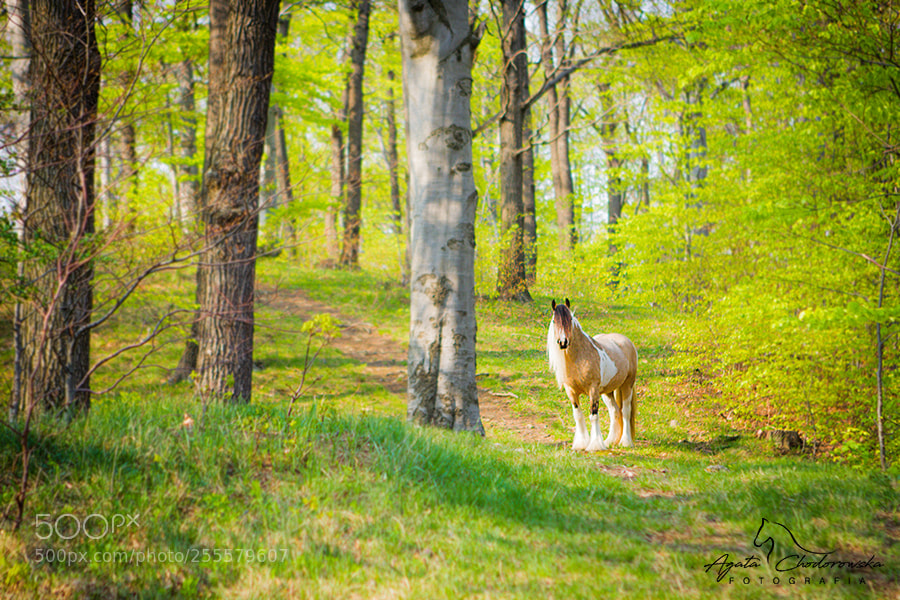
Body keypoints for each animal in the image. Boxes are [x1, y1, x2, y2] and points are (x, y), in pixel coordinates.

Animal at [547, 298, 638, 451]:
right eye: (554, 321)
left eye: (570, 319)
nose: (563, 342)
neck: (579, 357)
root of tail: (626, 341)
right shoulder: (571, 392)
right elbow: (578, 415)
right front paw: (581, 444)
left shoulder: (593, 390)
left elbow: (593, 416)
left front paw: (595, 445)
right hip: (607, 392)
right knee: (615, 411)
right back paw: (609, 441)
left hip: (627, 385)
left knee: (625, 411)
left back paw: (625, 442)